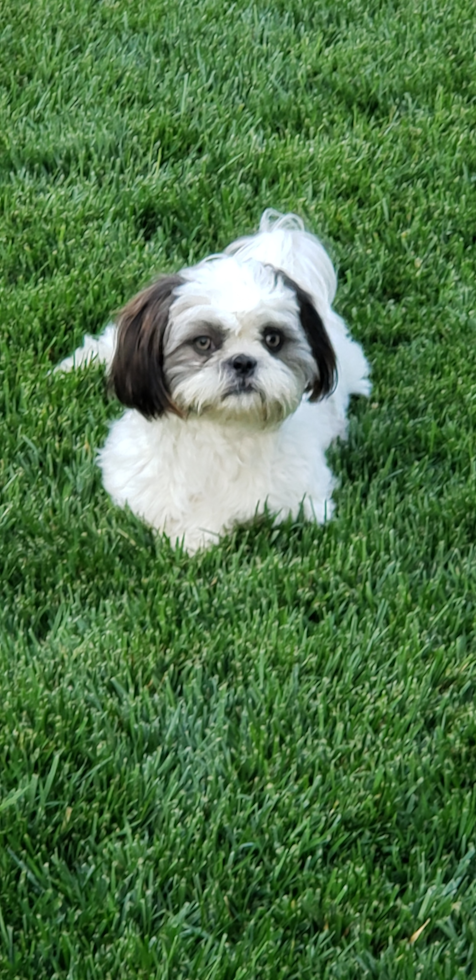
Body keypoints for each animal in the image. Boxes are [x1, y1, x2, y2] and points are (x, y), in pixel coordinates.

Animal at [55, 208, 370, 552]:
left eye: (273, 339)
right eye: (204, 342)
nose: (243, 361)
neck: (222, 429)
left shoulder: (300, 500)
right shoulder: (136, 482)